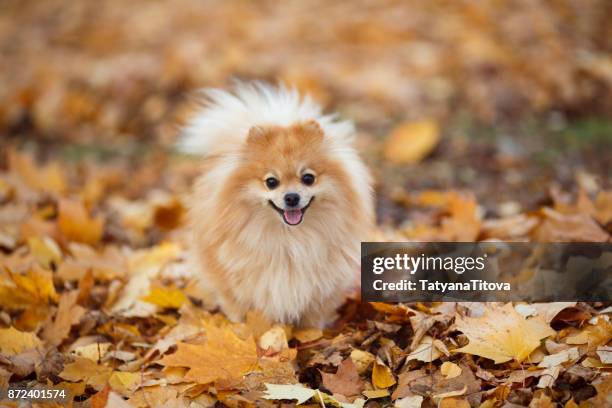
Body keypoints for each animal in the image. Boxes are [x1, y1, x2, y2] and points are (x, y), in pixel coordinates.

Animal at [178, 83, 372, 328]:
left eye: (308, 178)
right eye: (271, 182)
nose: (291, 197)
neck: (290, 239)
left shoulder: (323, 289)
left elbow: (314, 320)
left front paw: (313, 334)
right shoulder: (236, 283)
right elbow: (239, 311)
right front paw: (242, 329)